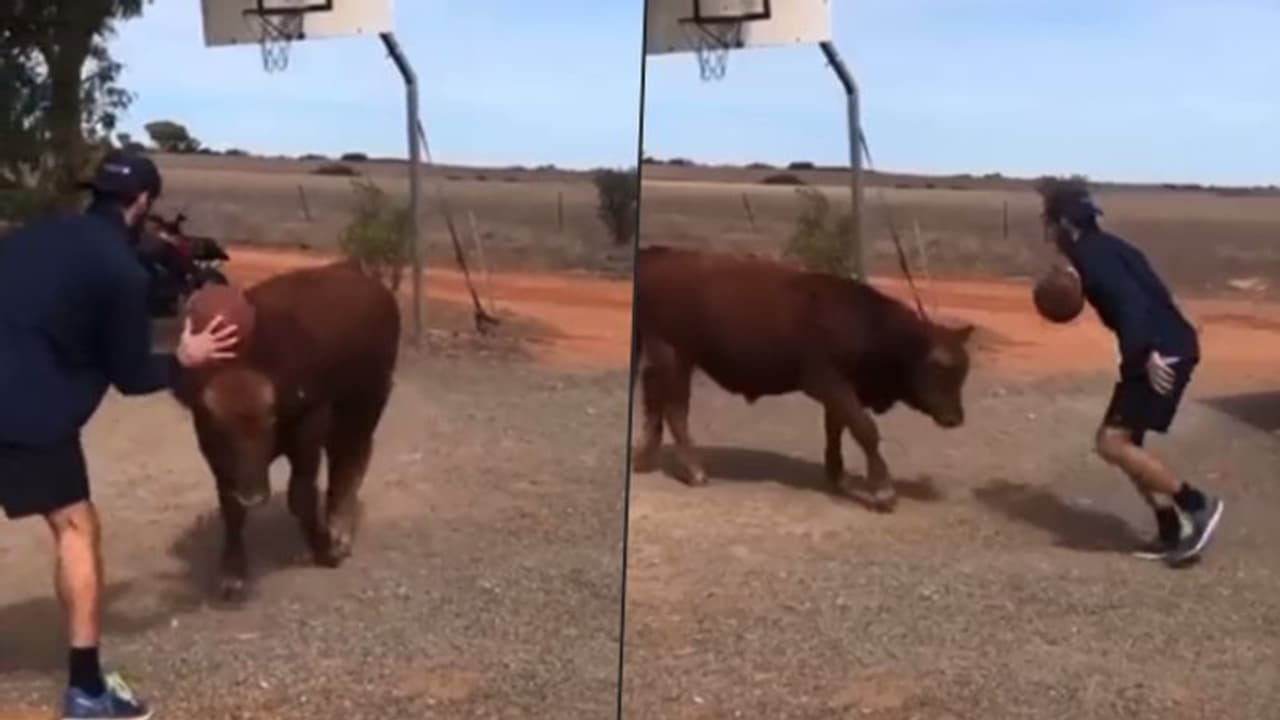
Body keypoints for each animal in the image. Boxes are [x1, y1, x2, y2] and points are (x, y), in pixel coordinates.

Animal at [174, 261, 400, 598]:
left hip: (366, 403)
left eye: (270, 420)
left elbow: (300, 496)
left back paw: (339, 533)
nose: (253, 497)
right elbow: (230, 506)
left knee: (350, 461)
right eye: (219, 429)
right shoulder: (216, 457)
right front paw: (232, 572)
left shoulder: (309, 429)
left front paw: (325, 549)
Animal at [631, 245, 974, 511]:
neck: (868, 326)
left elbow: (836, 428)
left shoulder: (841, 390)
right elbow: (865, 430)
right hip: (673, 354)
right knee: (675, 409)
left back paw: (645, 458)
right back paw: (695, 471)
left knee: (653, 397)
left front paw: (836, 475)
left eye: (964, 371)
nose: (955, 418)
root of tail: (658, 254)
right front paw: (883, 491)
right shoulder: (828, 382)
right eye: (939, 367)